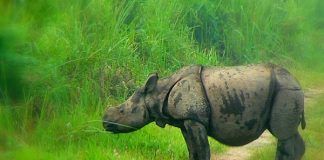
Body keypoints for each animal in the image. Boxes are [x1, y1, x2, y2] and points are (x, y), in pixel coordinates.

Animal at [102, 64, 306, 160]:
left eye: (122, 111)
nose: (104, 122)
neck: (157, 93)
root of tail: (296, 82)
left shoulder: (195, 120)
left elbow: (202, 150)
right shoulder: (186, 121)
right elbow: (193, 151)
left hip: (285, 90)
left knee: (283, 134)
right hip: (286, 89)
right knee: (290, 135)